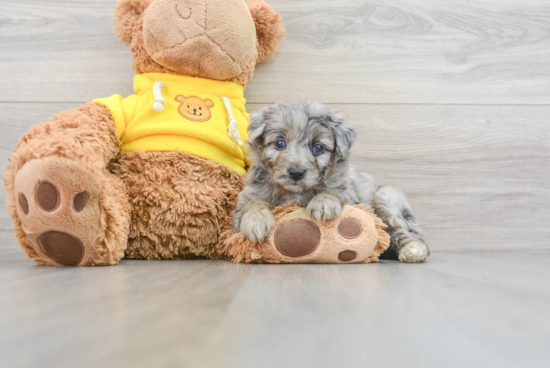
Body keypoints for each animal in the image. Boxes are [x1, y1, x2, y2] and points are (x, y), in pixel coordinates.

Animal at [233, 100, 432, 262]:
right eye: (280, 143)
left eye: (318, 147)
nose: (296, 173)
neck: (295, 192)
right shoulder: (245, 198)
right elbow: (252, 204)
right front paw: (256, 222)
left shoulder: (349, 193)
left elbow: (333, 191)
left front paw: (322, 204)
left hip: (387, 199)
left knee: (405, 233)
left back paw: (413, 250)